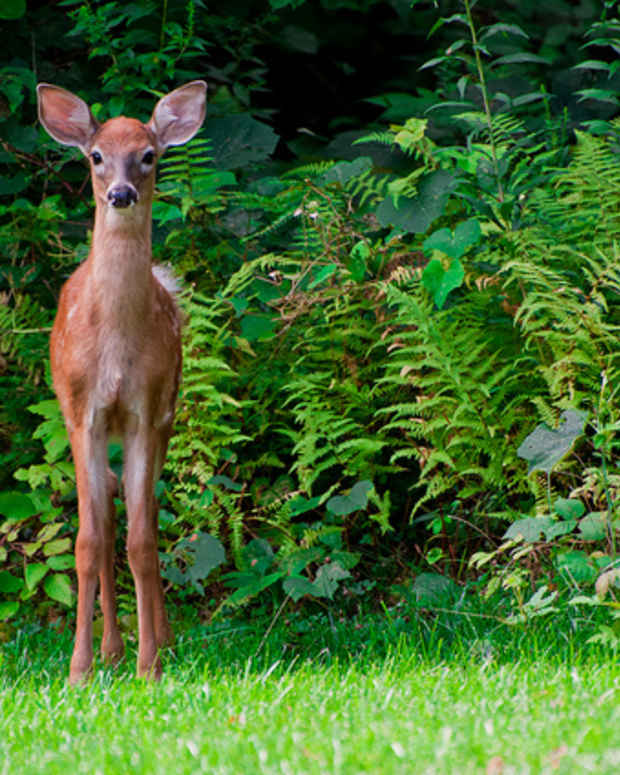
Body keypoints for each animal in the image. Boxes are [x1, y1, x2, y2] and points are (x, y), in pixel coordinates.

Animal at [37, 80, 207, 683]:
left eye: (149, 154)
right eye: (95, 156)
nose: (121, 193)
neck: (113, 345)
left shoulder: (144, 411)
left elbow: (142, 541)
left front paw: (150, 664)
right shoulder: (80, 411)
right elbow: (88, 541)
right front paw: (79, 669)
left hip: (169, 413)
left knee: (146, 514)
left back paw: (162, 641)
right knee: (106, 514)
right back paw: (110, 648)